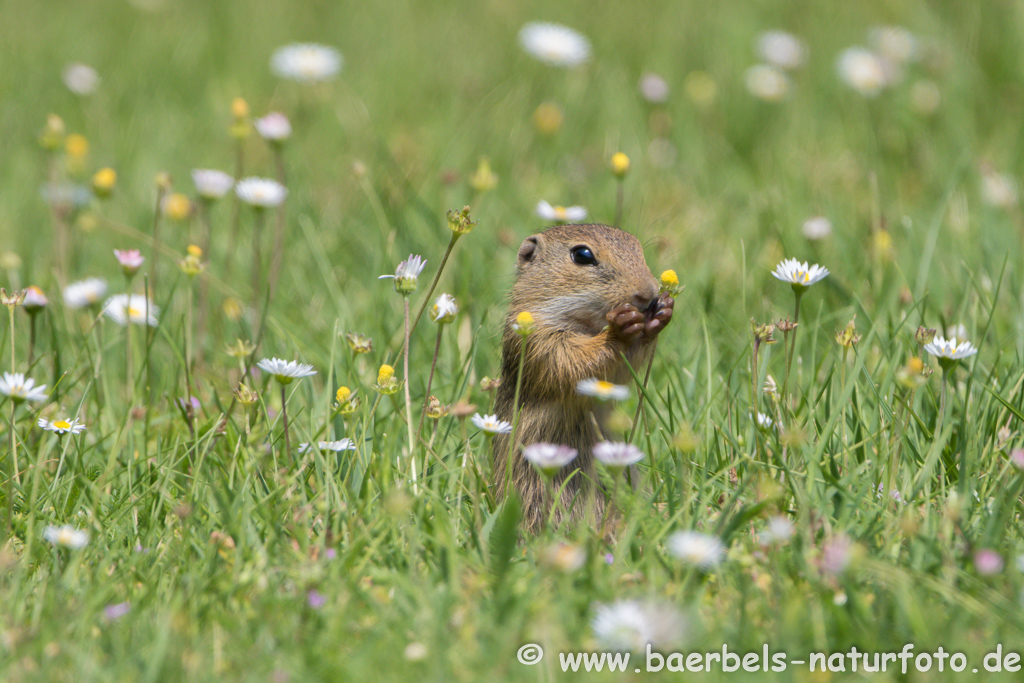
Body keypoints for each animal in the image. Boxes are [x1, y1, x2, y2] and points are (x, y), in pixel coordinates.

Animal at [493, 224, 675, 532]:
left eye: (637, 247)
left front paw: (662, 312)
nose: (649, 294)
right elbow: (570, 360)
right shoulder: (538, 341)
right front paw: (620, 329)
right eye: (582, 255)